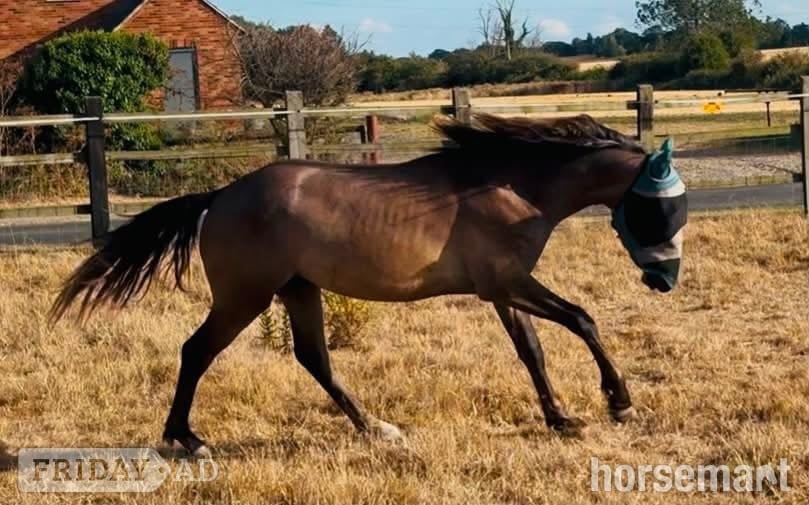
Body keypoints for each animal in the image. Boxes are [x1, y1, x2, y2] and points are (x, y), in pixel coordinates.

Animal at [50, 113, 688, 457]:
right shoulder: (509, 282)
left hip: (297, 290)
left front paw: (561, 418)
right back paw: (188, 438)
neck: (512, 187)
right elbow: (581, 318)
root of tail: (221, 196)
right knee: (196, 350)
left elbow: (531, 351)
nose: (664, 279)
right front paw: (619, 402)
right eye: (661, 210)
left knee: (314, 358)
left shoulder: (501, 290)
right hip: (244, 297)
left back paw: (376, 428)